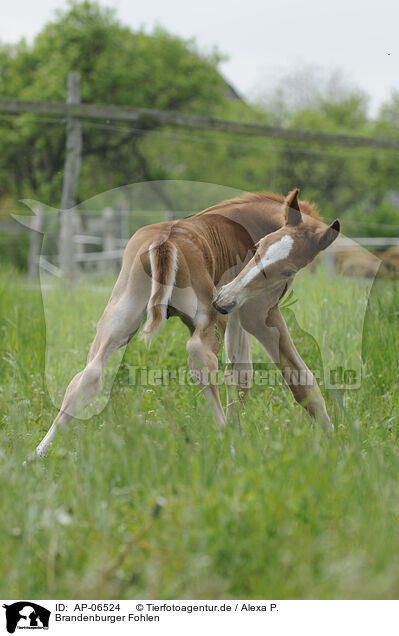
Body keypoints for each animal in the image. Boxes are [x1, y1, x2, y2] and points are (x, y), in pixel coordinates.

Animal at [33, 186, 340, 454]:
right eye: (257, 247)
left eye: (288, 269)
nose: (225, 297)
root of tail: (163, 242)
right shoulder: (258, 314)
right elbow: (300, 379)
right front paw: (333, 442)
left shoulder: (236, 315)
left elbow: (240, 376)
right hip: (209, 316)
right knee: (198, 355)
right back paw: (224, 437)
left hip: (120, 317)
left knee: (87, 377)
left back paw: (37, 454)